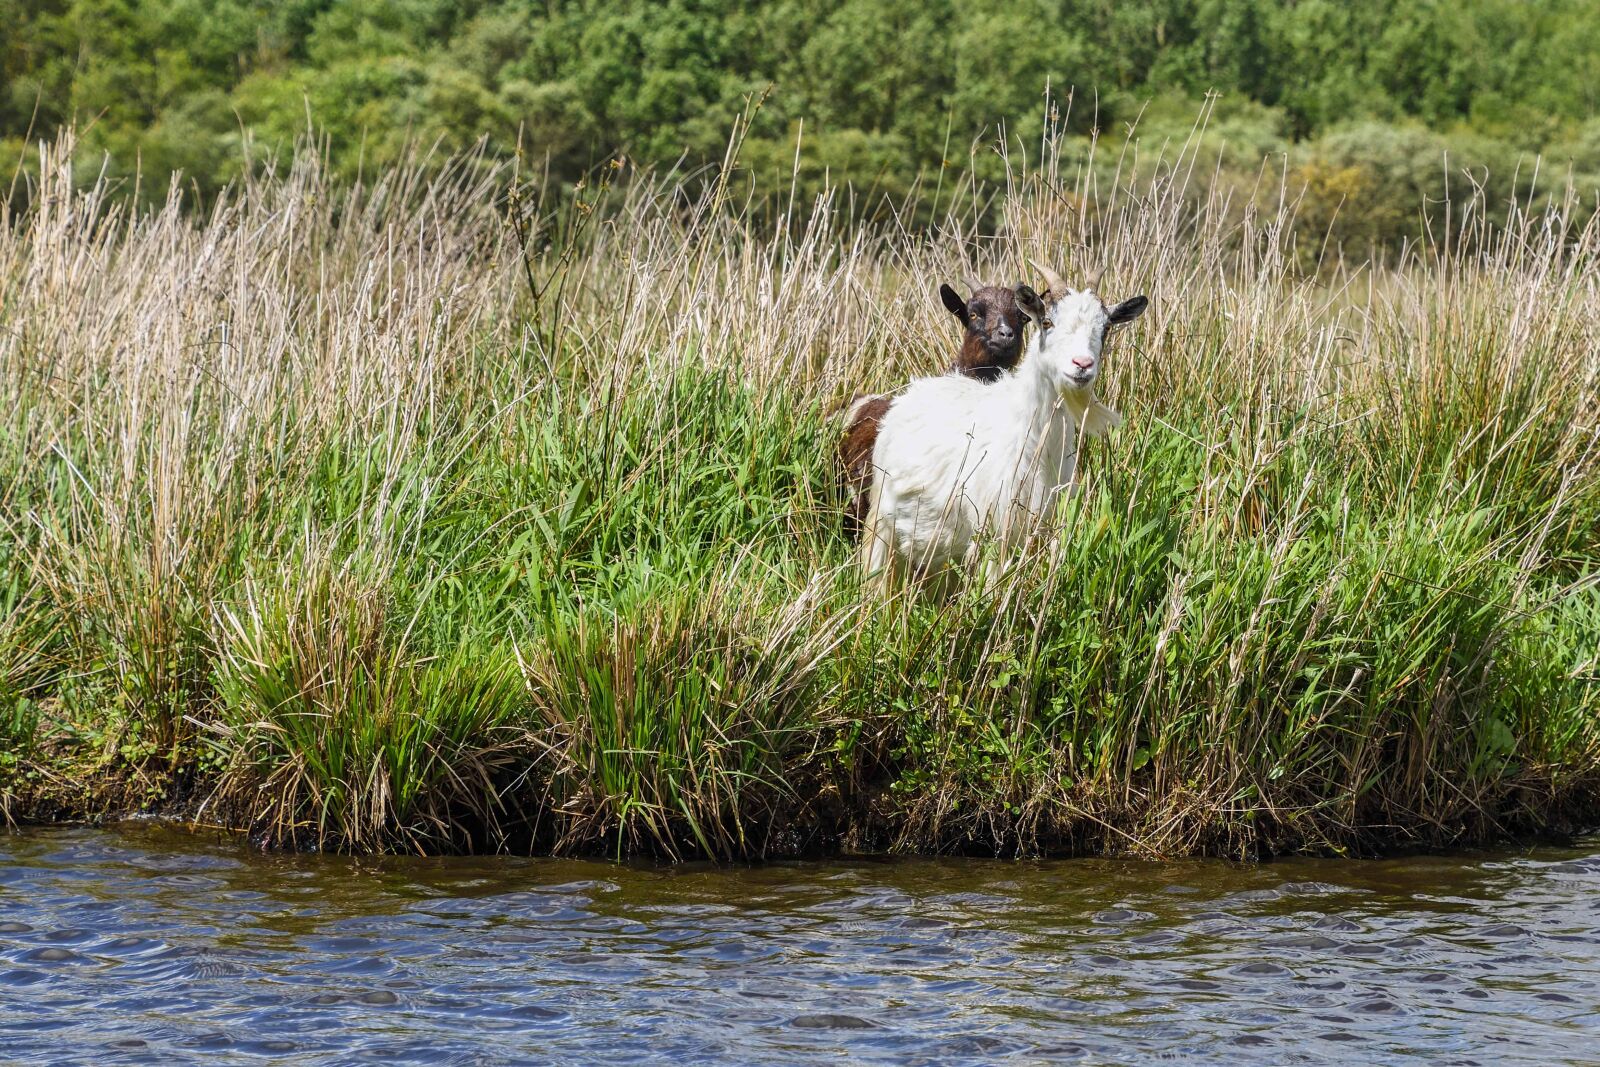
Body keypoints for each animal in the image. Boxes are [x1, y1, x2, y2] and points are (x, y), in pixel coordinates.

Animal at [860, 262, 1148, 584]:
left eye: (1106, 327)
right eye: (1046, 322)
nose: (1082, 365)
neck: (1034, 442)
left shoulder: (1047, 525)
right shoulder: (994, 528)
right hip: (882, 519)